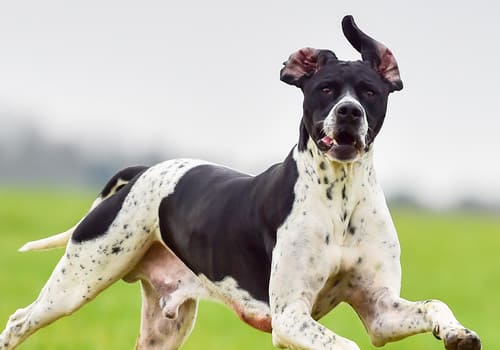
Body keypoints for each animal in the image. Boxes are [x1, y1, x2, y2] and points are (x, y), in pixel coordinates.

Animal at [0, 15, 480, 350]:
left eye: (370, 91)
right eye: (325, 89)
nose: (349, 112)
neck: (340, 197)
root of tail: (143, 172)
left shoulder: (381, 311)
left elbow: (434, 305)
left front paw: (457, 334)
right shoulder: (290, 317)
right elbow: (344, 343)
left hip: (166, 325)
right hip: (77, 282)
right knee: (18, 321)